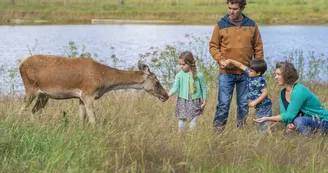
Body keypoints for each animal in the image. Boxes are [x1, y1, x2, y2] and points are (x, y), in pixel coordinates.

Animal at [19, 54, 169, 123]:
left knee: (34, 111)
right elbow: (93, 120)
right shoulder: (88, 94)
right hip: (30, 87)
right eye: (157, 82)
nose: (166, 95)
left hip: (44, 95)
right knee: (22, 109)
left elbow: (82, 118)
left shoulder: (81, 97)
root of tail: (20, 64)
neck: (105, 81)